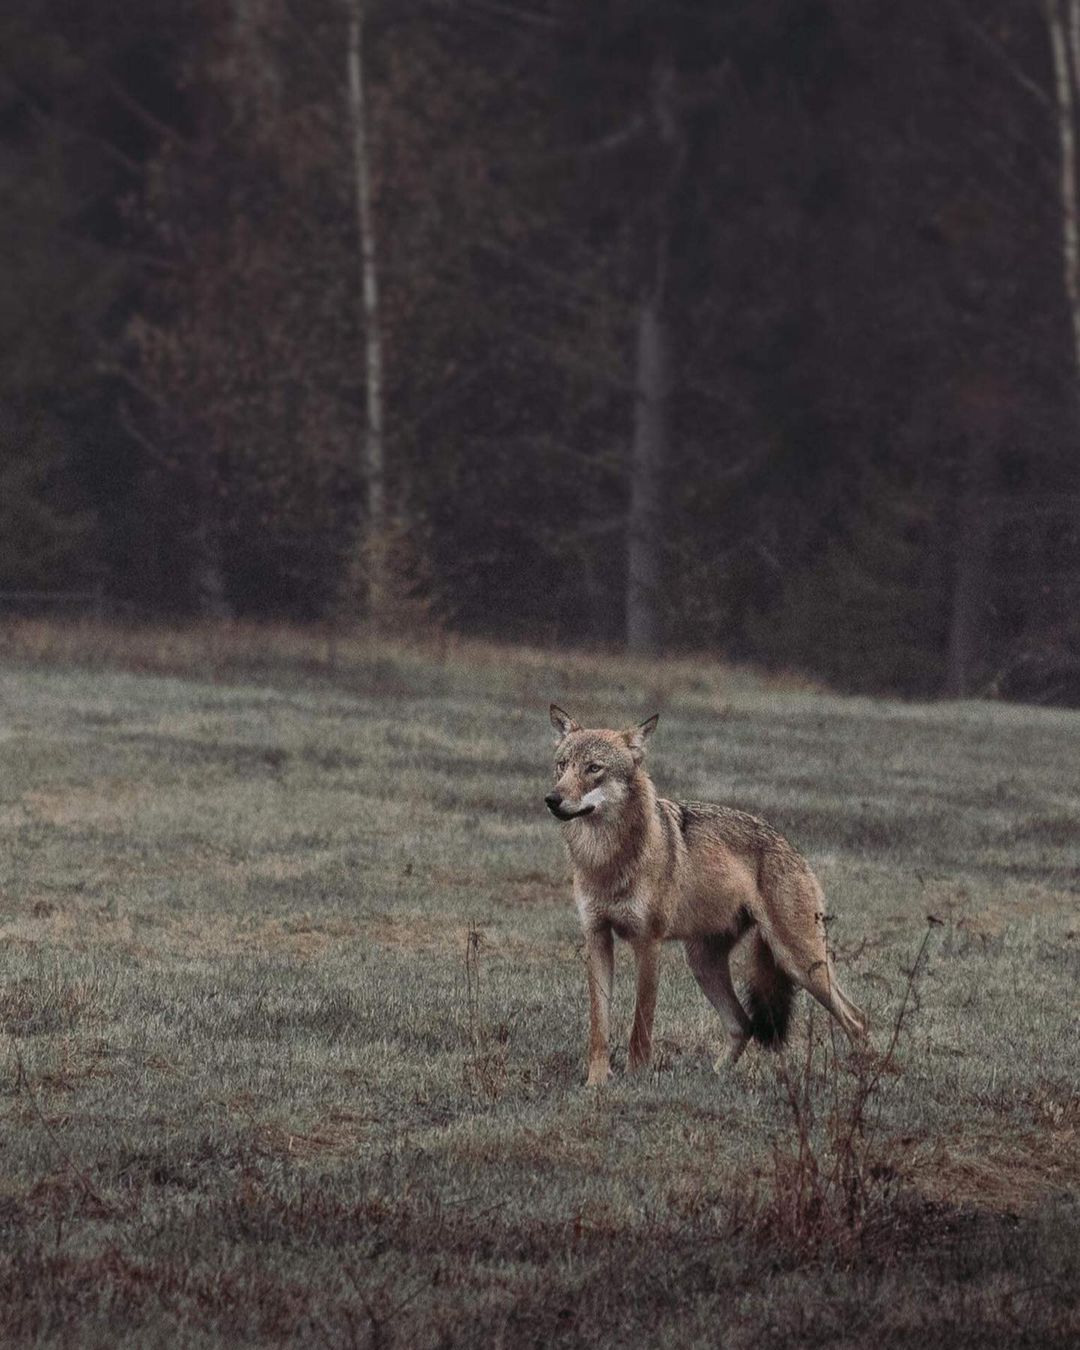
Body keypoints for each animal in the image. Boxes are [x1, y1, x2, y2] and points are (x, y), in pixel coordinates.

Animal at [545, 707, 864, 1085]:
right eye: (563, 766)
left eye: (594, 768)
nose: (552, 799)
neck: (606, 859)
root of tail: (791, 847)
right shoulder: (596, 938)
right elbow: (599, 1026)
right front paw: (595, 1083)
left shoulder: (648, 943)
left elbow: (641, 1026)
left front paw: (636, 1080)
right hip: (703, 963)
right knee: (743, 1024)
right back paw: (714, 1078)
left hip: (800, 962)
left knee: (857, 1018)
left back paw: (866, 1076)